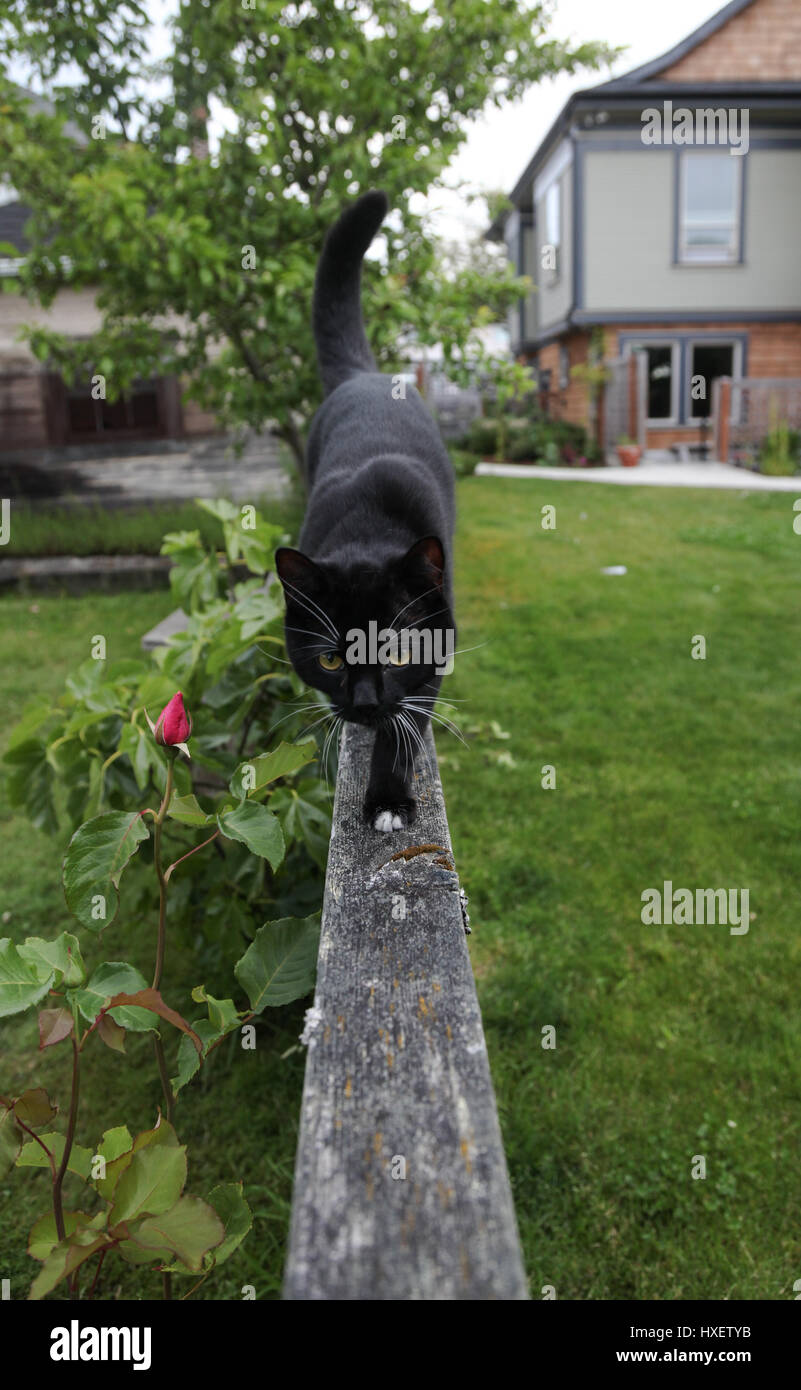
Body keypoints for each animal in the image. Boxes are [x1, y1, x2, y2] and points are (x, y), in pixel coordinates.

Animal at [273, 189, 453, 828]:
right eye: (330, 661)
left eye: (395, 651)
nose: (365, 703)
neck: (370, 529)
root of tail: (363, 374)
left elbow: (404, 727)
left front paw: (389, 800)